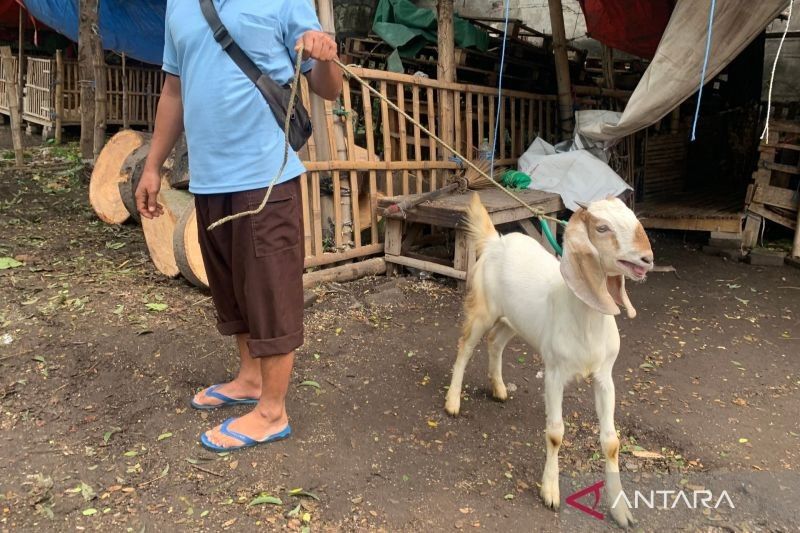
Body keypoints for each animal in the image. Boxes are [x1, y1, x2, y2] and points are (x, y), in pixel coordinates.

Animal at [446, 193, 652, 524]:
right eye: (602, 227)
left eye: (634, 219)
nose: (647, 258)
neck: (585, 320)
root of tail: (495, 241)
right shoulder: (554, 373)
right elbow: (555, 434)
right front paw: (550, 492)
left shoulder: (605, 376)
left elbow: (611, 441)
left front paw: (621, 511)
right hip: (483, 310)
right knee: (465, 346)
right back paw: (452, 402)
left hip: (514, 320)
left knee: (496, 341)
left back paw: (499, 389)